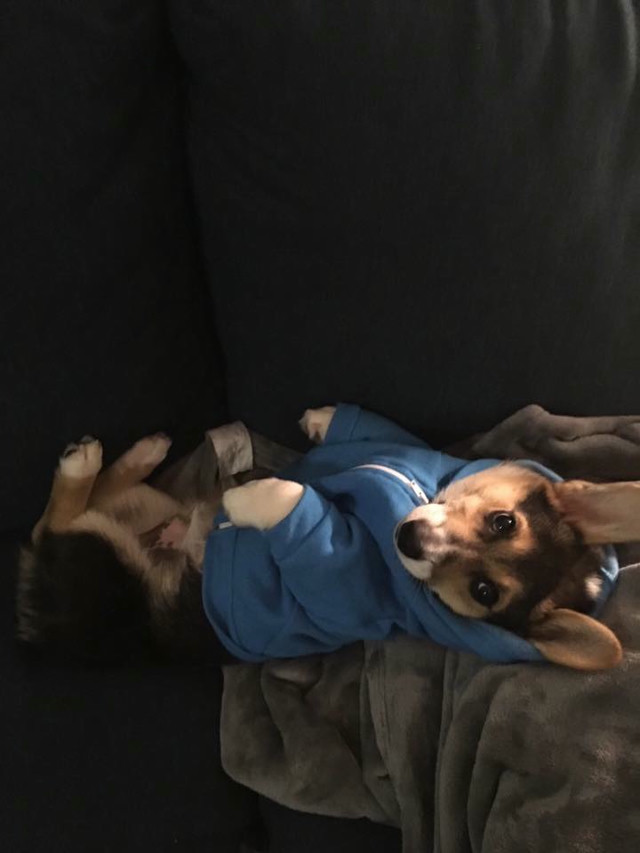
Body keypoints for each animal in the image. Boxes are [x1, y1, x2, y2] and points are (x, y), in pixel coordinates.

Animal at [17, 406, 632, 672]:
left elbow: (298, 514)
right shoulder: (397, 448)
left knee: (58, 523)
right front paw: (322, 420)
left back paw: (83, 463)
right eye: (504, 521)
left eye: (485, 592)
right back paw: (144, 451)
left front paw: (251, 500)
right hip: (154, 504)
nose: (408, 537)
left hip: (102, 560)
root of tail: (41, 626)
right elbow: (373, 429)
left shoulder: (339, 578)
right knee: (98, 500)